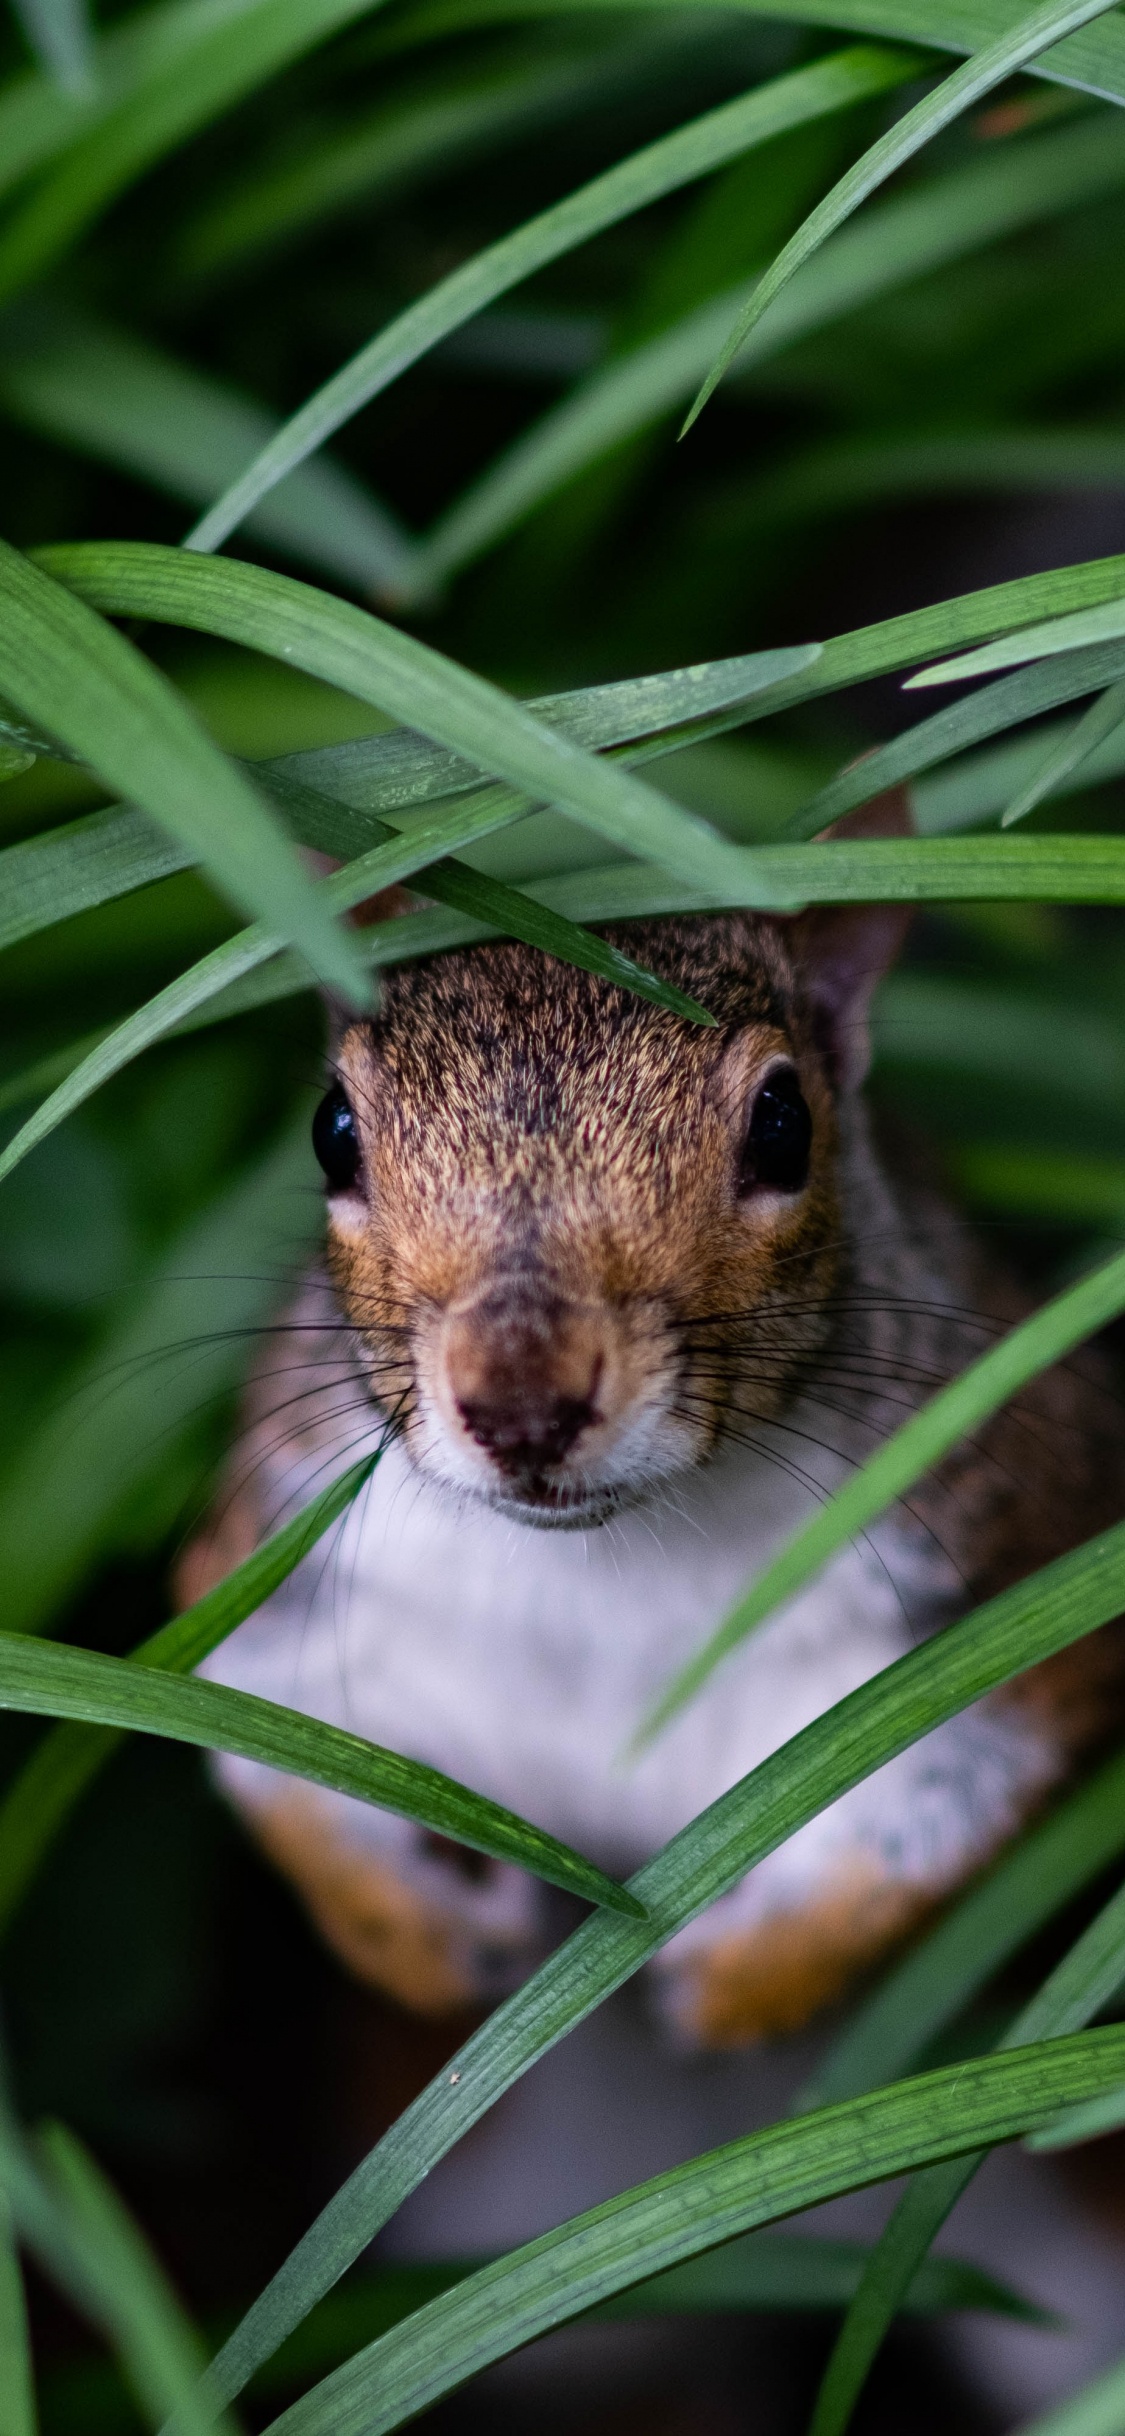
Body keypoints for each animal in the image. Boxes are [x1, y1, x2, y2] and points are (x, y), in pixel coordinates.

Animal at [182, 791, 1125, 2048]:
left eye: (784, 1123)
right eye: (333, 1128)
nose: (524, 1403)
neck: (604, 1573)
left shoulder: (1020, 1561)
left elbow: (935, 1830)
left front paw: (738, 1981)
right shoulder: (278, 1570)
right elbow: (272, 1770)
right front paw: (418, 1940)